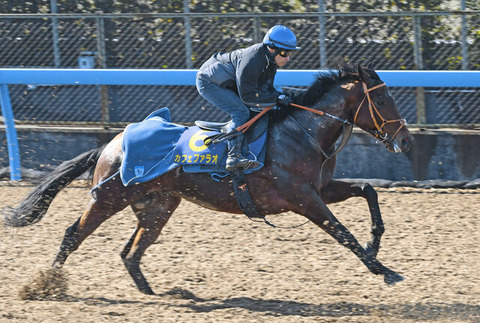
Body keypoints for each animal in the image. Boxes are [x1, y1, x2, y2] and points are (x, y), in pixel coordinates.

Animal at [2, 63, 412, 296]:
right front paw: (385, 270)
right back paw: (45, 284)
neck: (302, 133)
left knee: (131, 251)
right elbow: (343, 233)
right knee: (73, 234)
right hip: (108, 198)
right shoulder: (303, 198)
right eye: (383, 99)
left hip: (159, 205)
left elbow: (368, 190)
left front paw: (376, 244)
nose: (406, 140)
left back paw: (159, 294)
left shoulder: (321, 188)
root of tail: (110, 144)